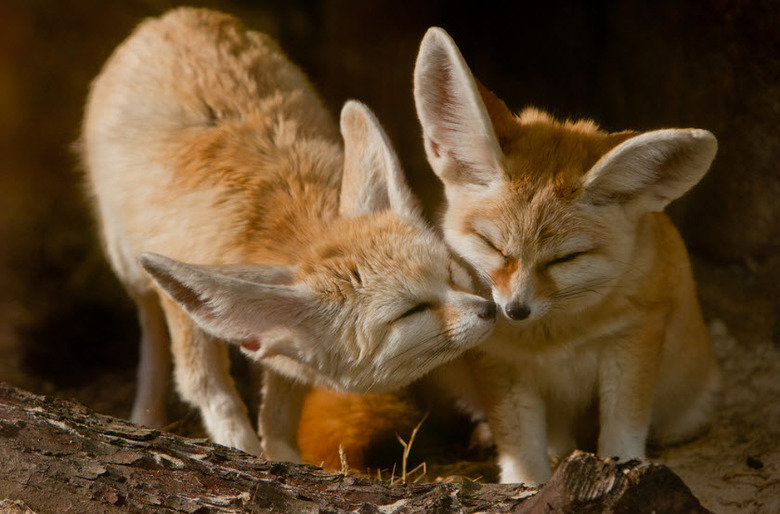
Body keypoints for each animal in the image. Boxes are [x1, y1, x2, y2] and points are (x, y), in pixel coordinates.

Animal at [80, 9, 496, 464]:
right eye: (411, 311)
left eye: (452, 276)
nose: (490, 310)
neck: (292, 227)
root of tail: (173, 16)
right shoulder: (188, 317)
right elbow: (210, 391)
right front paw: (238, 448)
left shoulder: (286, 350)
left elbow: (281, 408)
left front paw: (283, 456)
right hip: (130, 266)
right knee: (151, 326)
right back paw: (146, 411)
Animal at [411, 27, 721, 485]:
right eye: (492, 246)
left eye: (565, 258)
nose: (515, 310)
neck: (552, 339)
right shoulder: (500, 364)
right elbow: (520, 446)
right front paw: (527, 486)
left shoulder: (634, 338)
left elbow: (623, 430)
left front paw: (624, 470)